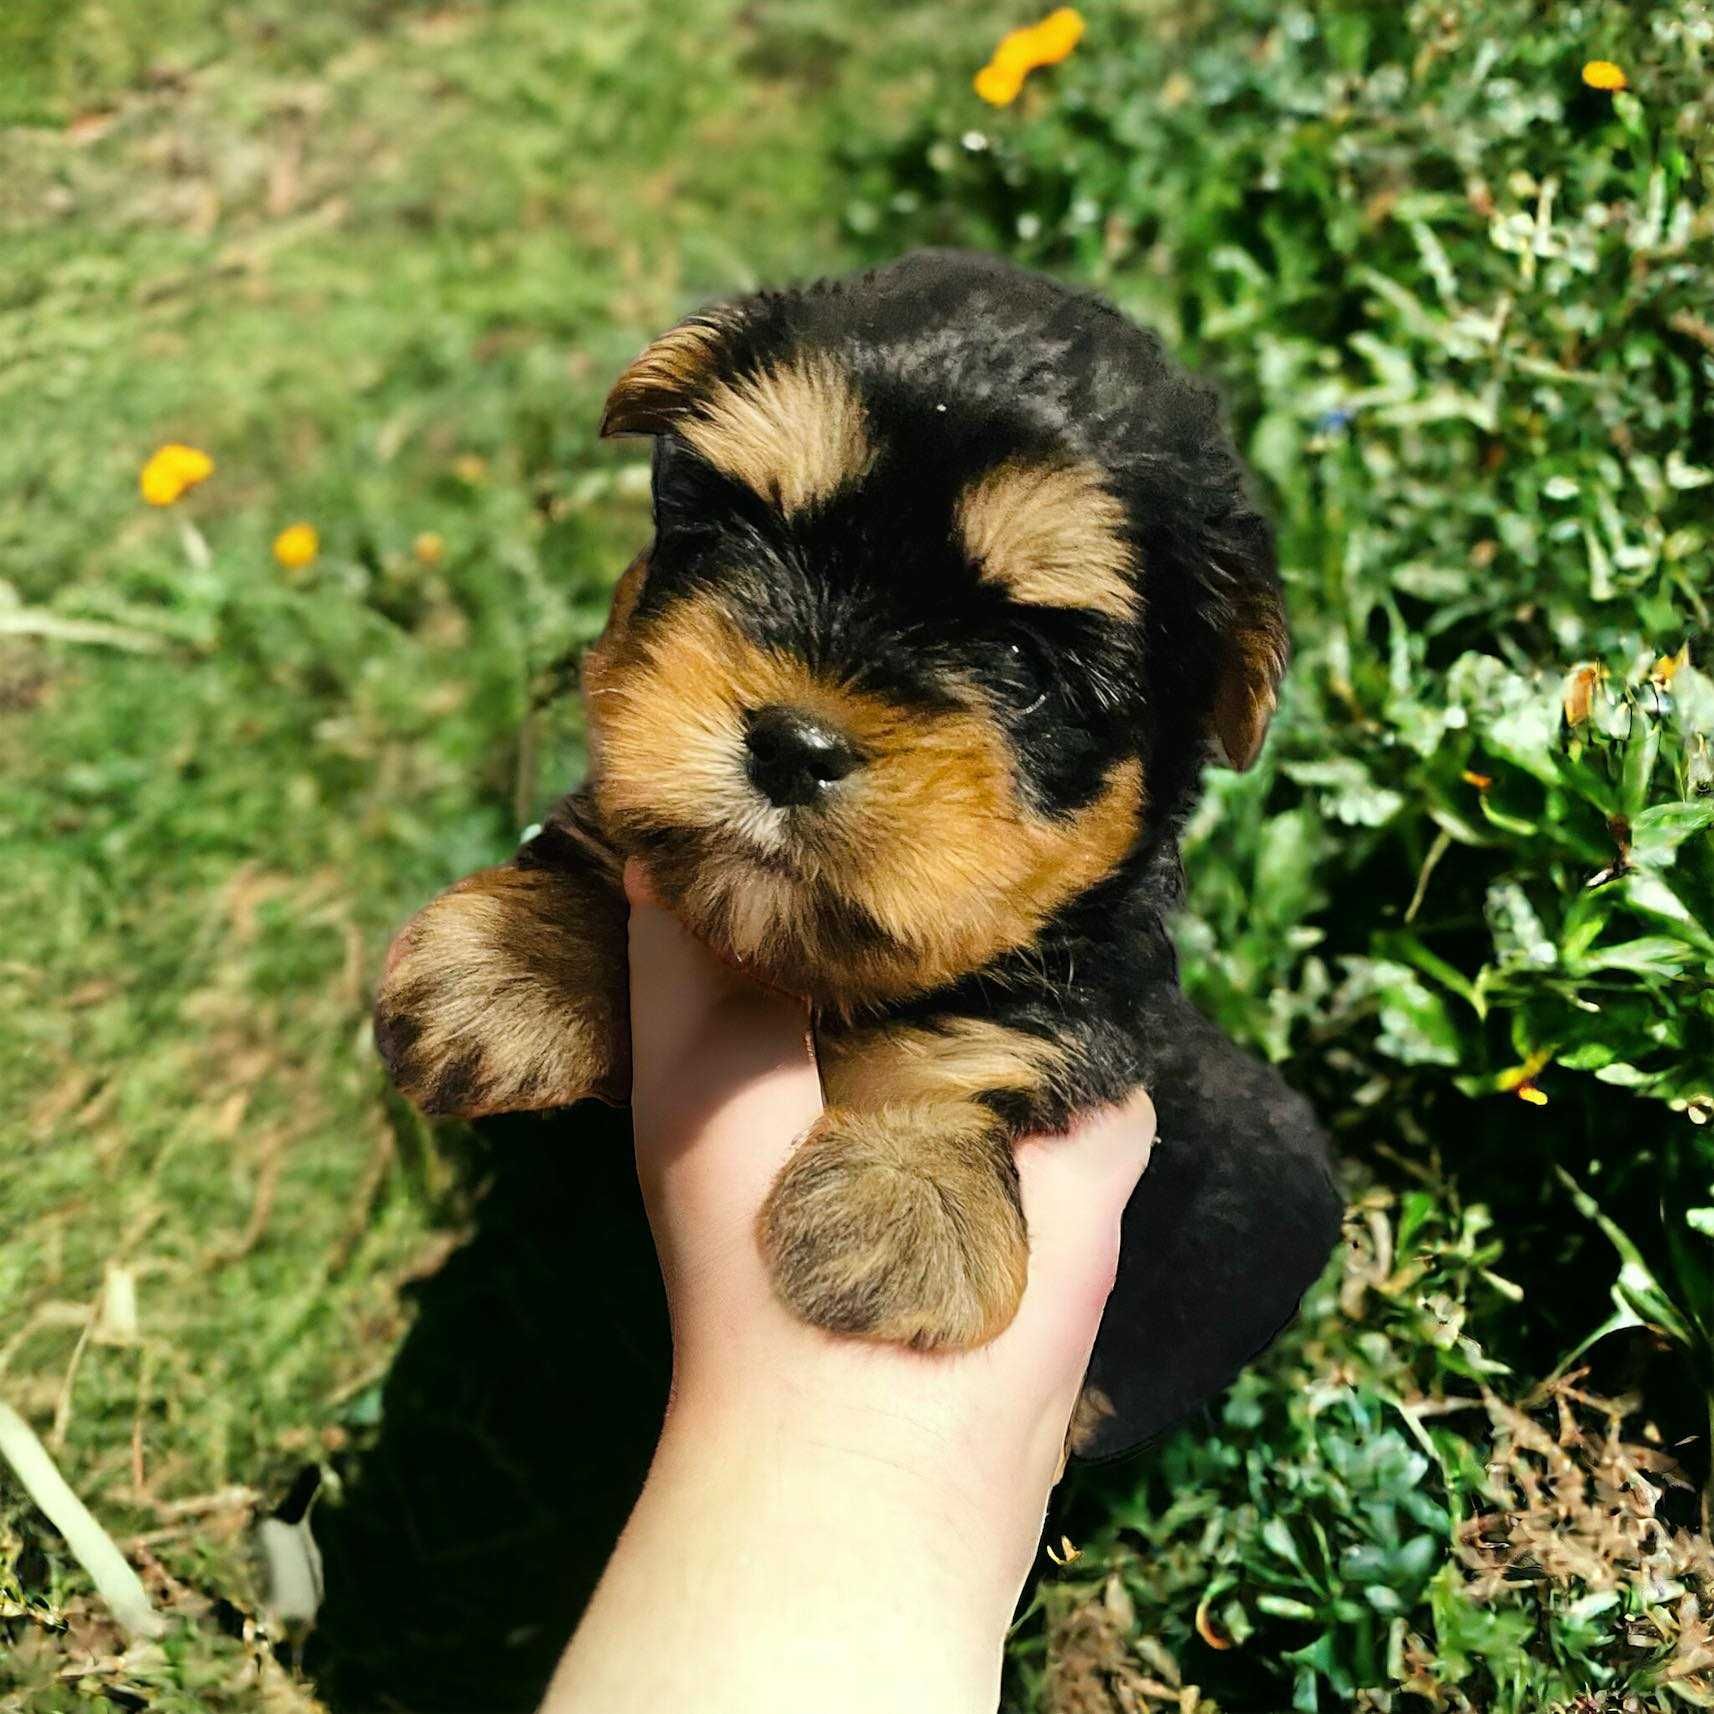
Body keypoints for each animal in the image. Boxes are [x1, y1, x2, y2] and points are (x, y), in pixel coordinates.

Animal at [375, 250, 1336, 1460]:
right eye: (742, 533)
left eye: (1020, 660)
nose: (794, 743)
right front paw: (513, 964)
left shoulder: (1090, 1003)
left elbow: (990, 1047)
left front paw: (906, 1201)